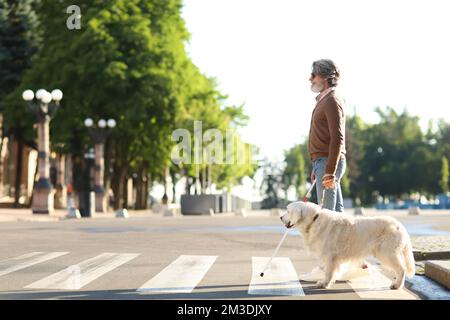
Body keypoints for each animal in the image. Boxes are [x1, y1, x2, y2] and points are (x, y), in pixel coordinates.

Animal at [282, 202, 414, 290]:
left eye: (288, 211)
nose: (280, 217)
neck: (314, 219)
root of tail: (400, 226)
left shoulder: (330, 256)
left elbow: (328, 272)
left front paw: (324, 284)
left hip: (386, 253)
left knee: (401, 269)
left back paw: (396, 285)